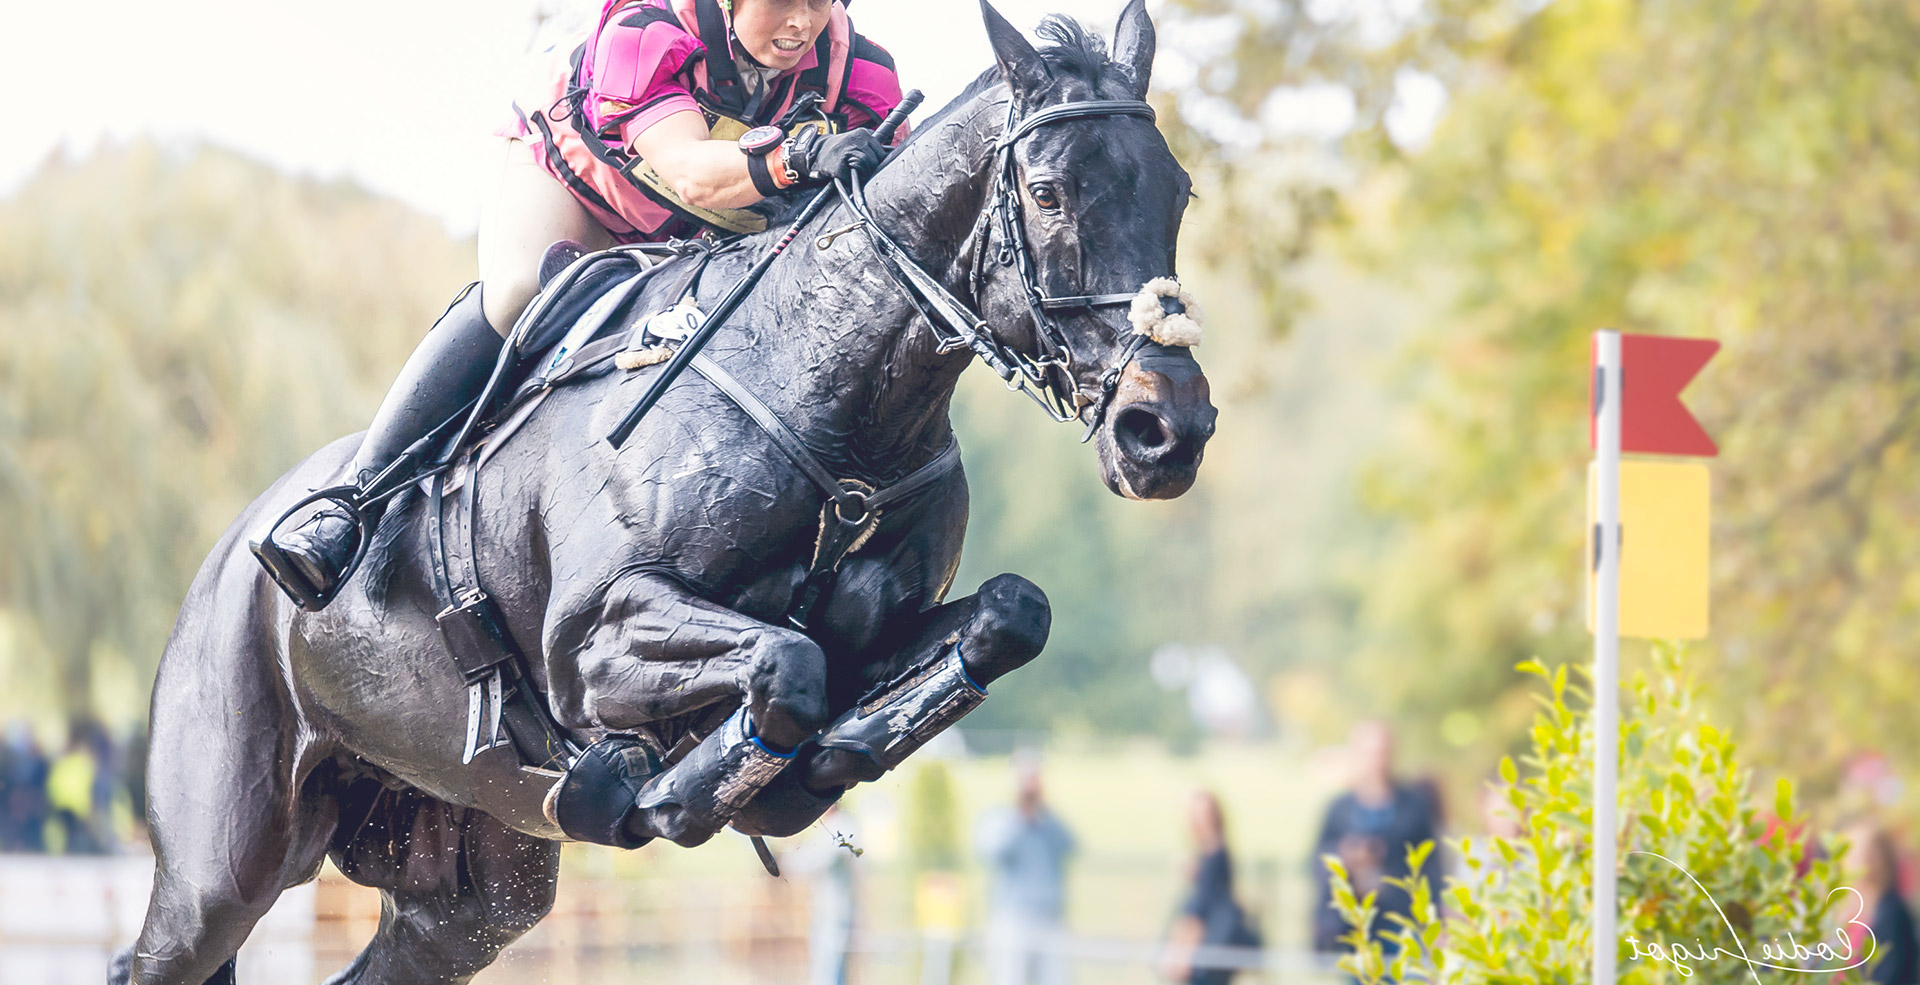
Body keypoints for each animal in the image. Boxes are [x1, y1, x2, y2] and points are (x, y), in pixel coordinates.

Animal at [123, 3, 1213, 979]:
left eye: (1180, 193)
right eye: (1049, 190)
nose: (1167, 429)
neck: (821, 386)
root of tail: (222, 560)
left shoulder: (891, 619)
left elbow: (1003, 616)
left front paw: (820, 763)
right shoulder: (595, 642)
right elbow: (787, 665)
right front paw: (676, 790)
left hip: (467, 892)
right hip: (222, 866)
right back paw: (318, 539)